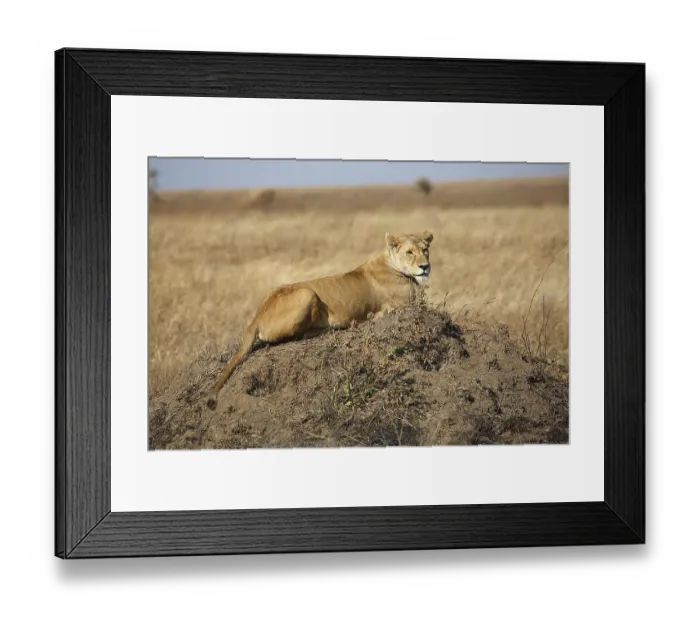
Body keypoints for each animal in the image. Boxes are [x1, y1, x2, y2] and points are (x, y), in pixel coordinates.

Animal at [206, 230, 433, 410]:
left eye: (425, 250)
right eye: (409, 252)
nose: (425, 267)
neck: (390, 263)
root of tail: (258, 314)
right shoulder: (403, 305)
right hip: (306, 293)